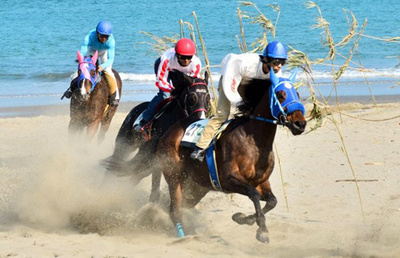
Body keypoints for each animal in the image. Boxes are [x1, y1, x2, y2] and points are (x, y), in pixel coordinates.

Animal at [103, 69, 211, 201]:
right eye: (192, 97)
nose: (201, 118)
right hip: (125, 143)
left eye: (208, 98)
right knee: (117, 159)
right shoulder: (152, 153)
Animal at [156, 68, 306, 242]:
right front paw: (262, 230)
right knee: (175, 210)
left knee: (180, 205)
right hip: (175, 177)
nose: (300, 124)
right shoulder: (229, 179)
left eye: (297, 93)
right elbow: (254, 195)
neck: (254, 143)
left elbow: (272, 201)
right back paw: (182, 236)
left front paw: (243, 218)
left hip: (197, 185)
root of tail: (168, 132)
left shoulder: (261, 181)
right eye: (281, 94)